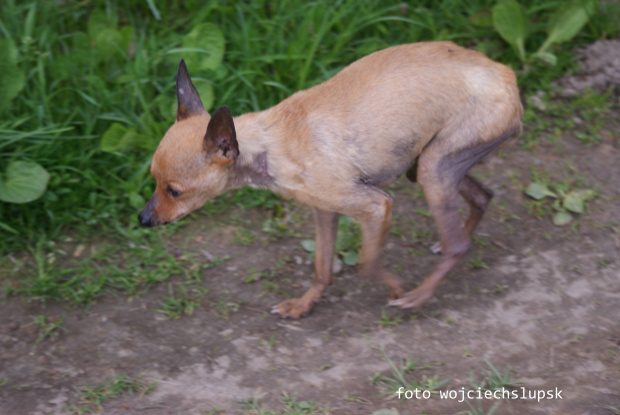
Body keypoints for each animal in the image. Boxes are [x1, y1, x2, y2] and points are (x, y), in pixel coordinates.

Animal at [138, 41, 520, 318]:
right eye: (154, 182)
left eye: (175, 191)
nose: (143, 219)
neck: (270, 148)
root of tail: (506, 73)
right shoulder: (324, 210)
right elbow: (322, 266)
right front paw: (304, 304)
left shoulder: (375, 206)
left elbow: (367, 263)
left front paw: (394, 287)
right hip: (427, 164)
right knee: (483, 197)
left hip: (434, 169)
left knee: (459, 244)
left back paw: (419, 294)